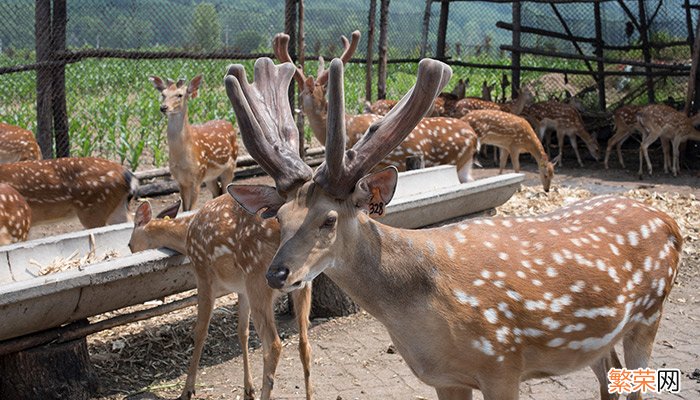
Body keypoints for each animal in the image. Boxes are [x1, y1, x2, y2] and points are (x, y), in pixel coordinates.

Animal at [128, 196, 312, 400]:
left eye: (130, 242)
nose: (130, 248)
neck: (186, 235)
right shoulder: (242, 289)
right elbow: (242, 332)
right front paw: (248, 389)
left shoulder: (202, 274)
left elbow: (200, 331)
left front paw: (188, 390)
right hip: (301, 284)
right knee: (305, 344)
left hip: (257, 278)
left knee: (273, 345)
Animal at [149, 76, 239, 212]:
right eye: (163, 94)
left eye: (180, 95)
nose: (163, 107)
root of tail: (229, 124)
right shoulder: (180, 180)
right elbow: (185, 209)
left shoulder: (197, 176)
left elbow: (191, 209)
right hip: (211, 176)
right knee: (217, 192)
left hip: (230, 166)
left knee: (225, 192)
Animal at [226, 55, 684, 400]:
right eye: (279, 219)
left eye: (329, 218)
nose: (276, 273)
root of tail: (670, 223)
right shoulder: (445, 379)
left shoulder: (503, 362)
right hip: (600, 339)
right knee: (612, 380)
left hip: (649, 314)